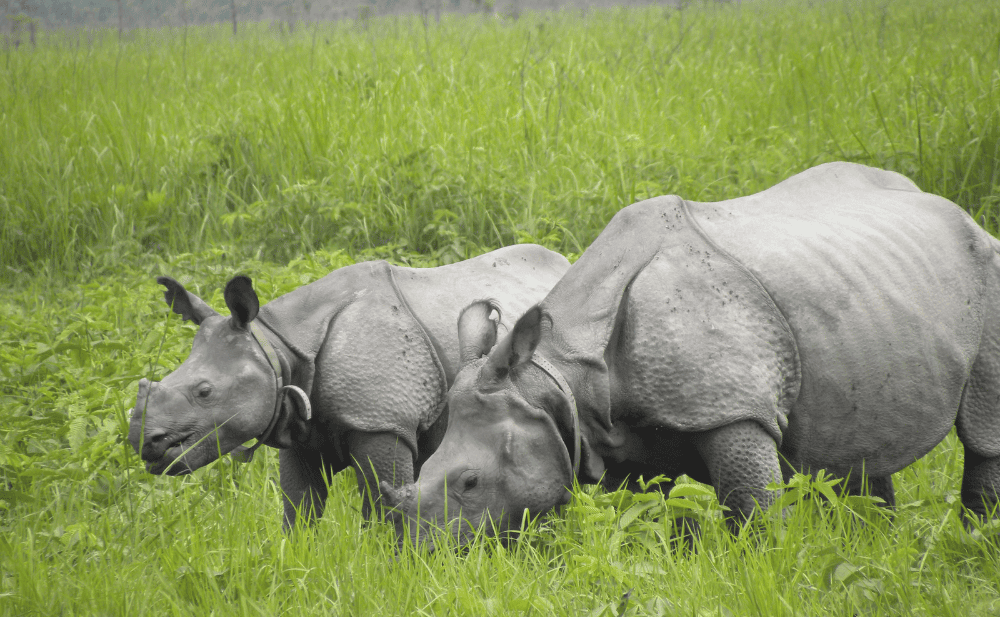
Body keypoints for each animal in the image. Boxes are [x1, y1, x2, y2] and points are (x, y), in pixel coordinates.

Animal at [127, 245, 570, 527]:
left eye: (205, 392)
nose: (146, 443)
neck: (276, 347)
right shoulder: (298, 426)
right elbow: (299, 508)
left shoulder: (382, 422)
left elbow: (381, 501)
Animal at [383, 162, 1000, 547]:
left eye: (469, 483)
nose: (420, 556)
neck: (556, 372)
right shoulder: (619, 434)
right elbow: (648, 518)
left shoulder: (731, 406)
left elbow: (752, 508)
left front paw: (765, 565)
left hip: (988, 264)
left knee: (983, 432)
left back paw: (978, 542)